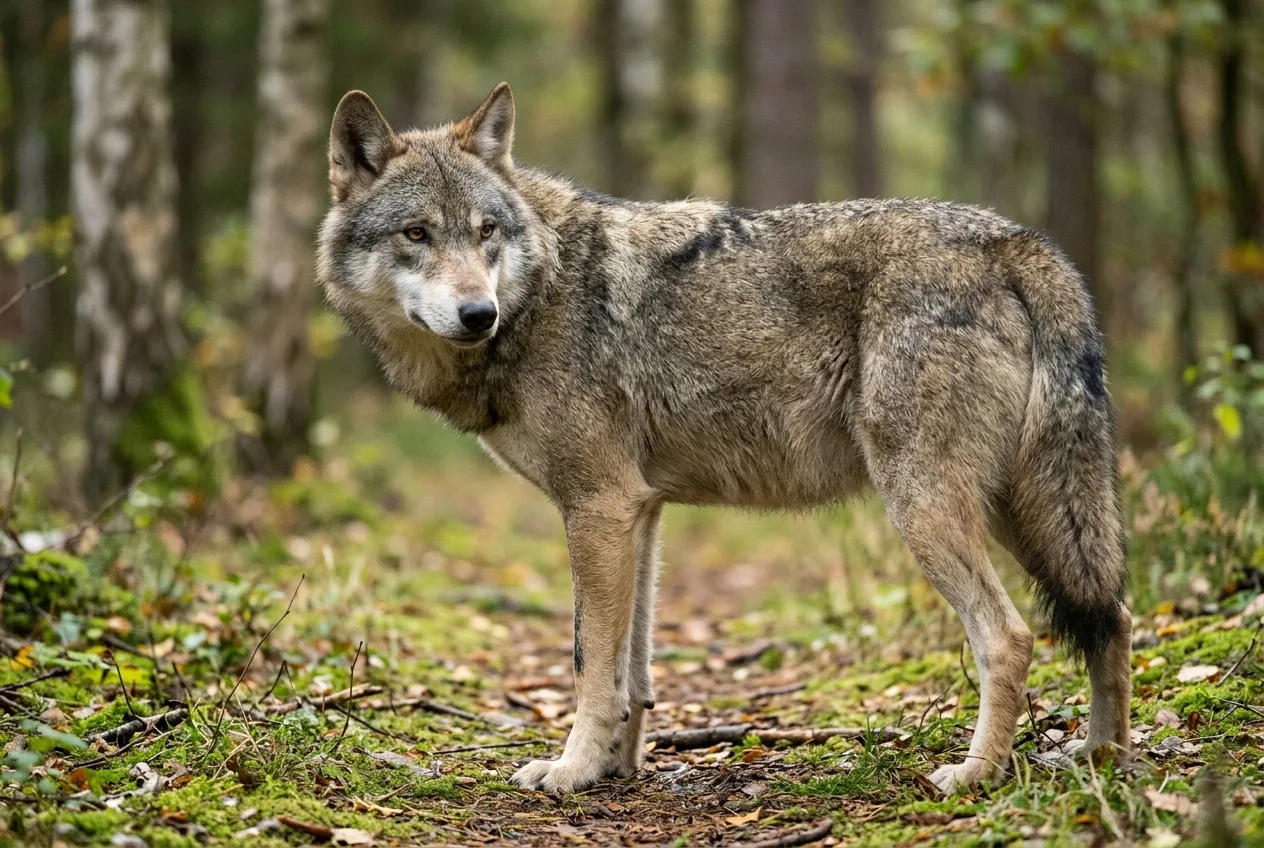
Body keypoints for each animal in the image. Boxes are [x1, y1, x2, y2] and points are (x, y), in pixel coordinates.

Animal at [317, 83, 1132, 794]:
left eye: (485, 233)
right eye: (417, 233)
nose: (477, 313)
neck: (541, 290)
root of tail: (1013, 240)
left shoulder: (597, 508)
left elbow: (588, 662)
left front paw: (571, 772)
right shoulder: (638, 512)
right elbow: (635, 671)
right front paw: (616, 767)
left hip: (927, 507)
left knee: (1011, 637)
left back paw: (975, 776)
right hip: (1024, 512)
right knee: (1112, 617)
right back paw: (1103, 759)